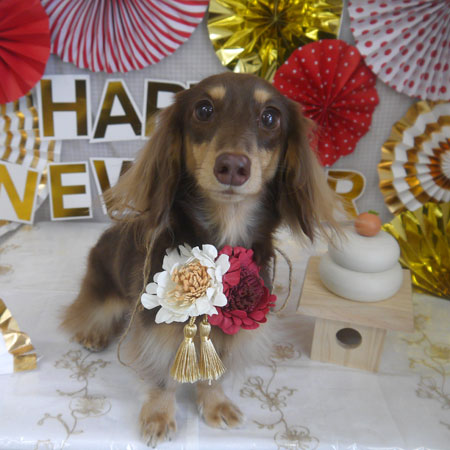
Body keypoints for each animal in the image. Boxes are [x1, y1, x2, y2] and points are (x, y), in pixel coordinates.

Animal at [62, 72, 339, 446]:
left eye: (270, 117)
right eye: (204, 110)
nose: (232, 166)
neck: (223, 234)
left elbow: (214, 368)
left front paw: (215, 403)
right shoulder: (155, 323)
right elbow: (161, 373)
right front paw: (159, 415)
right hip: (104, 291)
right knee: (91, 310)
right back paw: (93, 333)